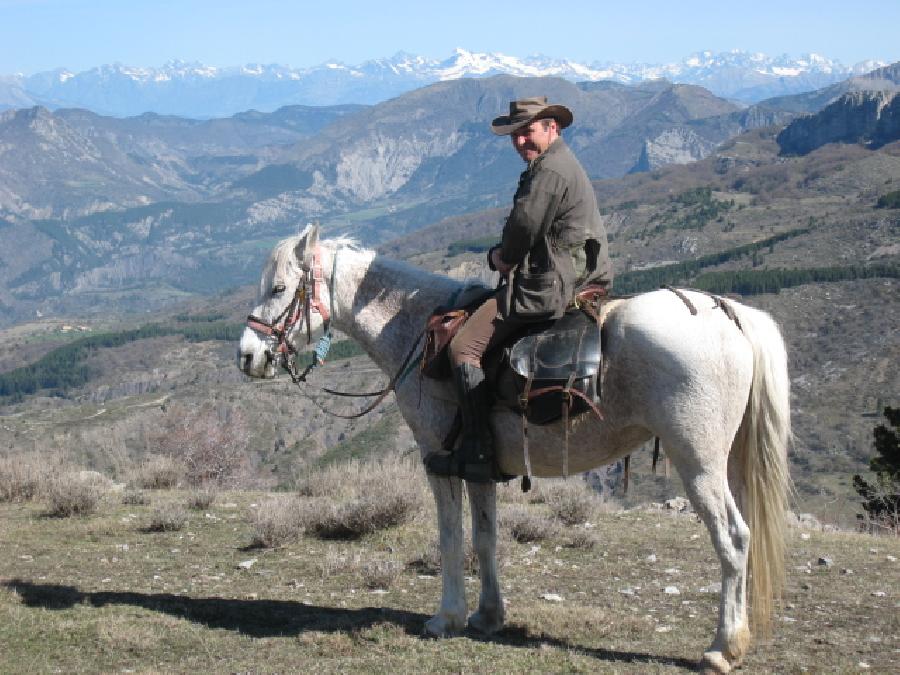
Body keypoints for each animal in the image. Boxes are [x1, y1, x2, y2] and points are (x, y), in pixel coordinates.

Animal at [237, 226, 788, 672]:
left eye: (280, 288)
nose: (247, 356)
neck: (417, 329)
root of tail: (729, 314)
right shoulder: (480, 468)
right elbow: (485, 539)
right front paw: (487, 615)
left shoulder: (439, 462)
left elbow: (451, 539)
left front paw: (447, 617)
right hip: (728, 463)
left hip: (699, 464)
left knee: (733, 538)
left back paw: (723, 648)